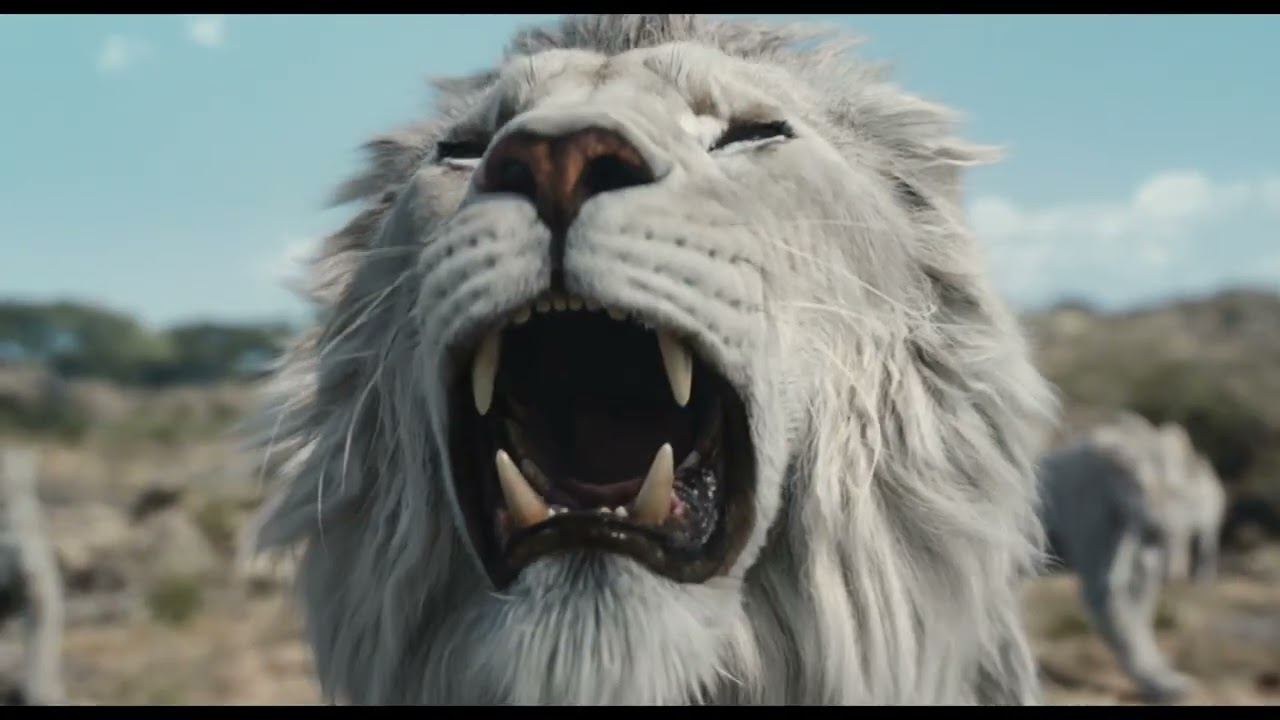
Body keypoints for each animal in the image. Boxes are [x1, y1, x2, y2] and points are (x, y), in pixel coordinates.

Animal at [1037, 413, 1210, 703]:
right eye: (1140, 485)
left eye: (1172, 488)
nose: (1154, 528)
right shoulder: (1101, 564)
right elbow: (1127, 629)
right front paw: (1164, 685)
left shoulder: (1141, 569)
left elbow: (1139, 620)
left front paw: (1161, 671)